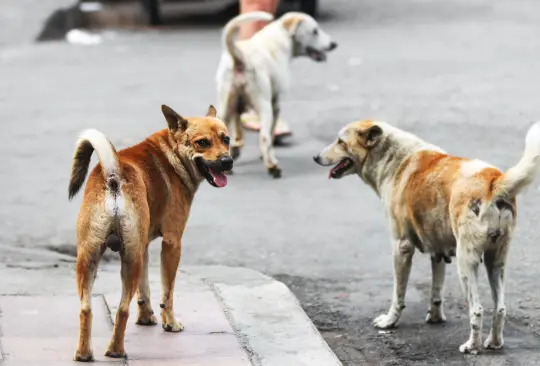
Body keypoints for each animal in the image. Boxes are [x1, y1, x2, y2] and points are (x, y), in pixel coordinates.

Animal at [68, 103, 232, 360]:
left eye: (226, 139)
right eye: (202, 142)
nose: (227, 161)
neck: (171, 154)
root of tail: (113, 175)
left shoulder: (143, 246)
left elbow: (144, 290)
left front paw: (146, 318)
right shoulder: (172, 243)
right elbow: (167, 292)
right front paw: (170, 323)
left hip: (90, 257)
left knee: (86, 308)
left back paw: (84, 353)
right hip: (128, 259)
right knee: (122, 309)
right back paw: (116, 350)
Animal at [216, 10, 338, 178]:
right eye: (315, 31)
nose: (333, 44)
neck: (280, 36)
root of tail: (240, 57)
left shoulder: (237, 107)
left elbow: (238, 130)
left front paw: (236, 149)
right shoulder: (275, 104)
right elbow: (271, 133)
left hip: (224, 108)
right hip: (264, 107)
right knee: (264, 138)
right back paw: (272, 166)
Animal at [312, 120, 540, 354]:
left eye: (340, 141)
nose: (316, 157)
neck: (394, 158)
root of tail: (493, 180)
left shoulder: (401, 248)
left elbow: (398, 294)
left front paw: (390, 321)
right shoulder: (437, 251)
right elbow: (436, 290)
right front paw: (435, 317)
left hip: (467, 264)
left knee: (477, 309)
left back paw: (472, 346)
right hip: (495, 261)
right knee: (500, 308)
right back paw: (494, 343)